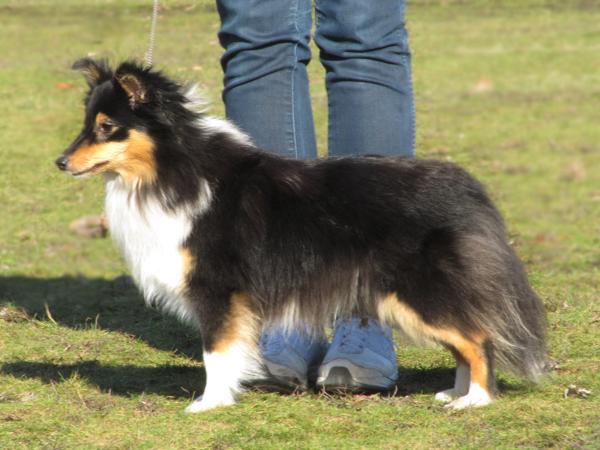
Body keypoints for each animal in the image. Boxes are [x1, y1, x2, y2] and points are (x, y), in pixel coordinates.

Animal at [56, 59, 548, 412]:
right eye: (86, 123)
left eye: (106, 127)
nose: (60, 162)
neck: (171, 167)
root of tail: (469, 188)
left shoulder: (217, 289)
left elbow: (215, 351)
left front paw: (209, 403)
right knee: (467, 338)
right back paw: (457, 392)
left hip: (418, 292)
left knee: (480, 338)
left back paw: (476, 400)